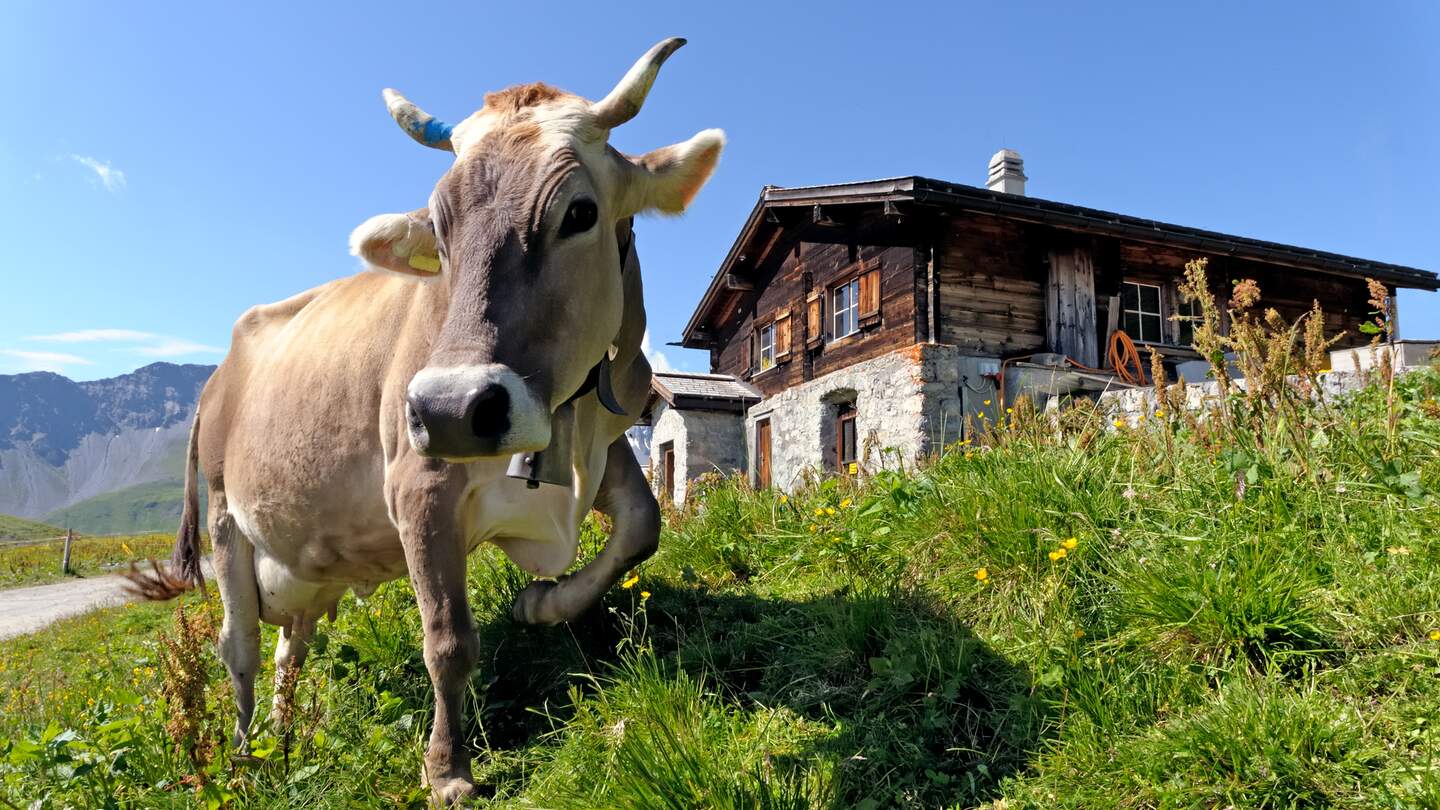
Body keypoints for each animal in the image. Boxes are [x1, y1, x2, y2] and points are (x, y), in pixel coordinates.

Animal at [143, 38, 722, 803]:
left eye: (579, 213)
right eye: (440, 232)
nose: (452, 408)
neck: (565, 437)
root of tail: (216, 375)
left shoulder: (602, 440)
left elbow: (642, 526)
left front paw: (542, 603)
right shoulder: (419, 484)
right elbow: (448, 639)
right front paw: (448, 771)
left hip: (304, 565)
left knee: (290, 648)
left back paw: (281, 740)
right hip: (226, 518)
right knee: (238, 651)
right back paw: (243, 764)